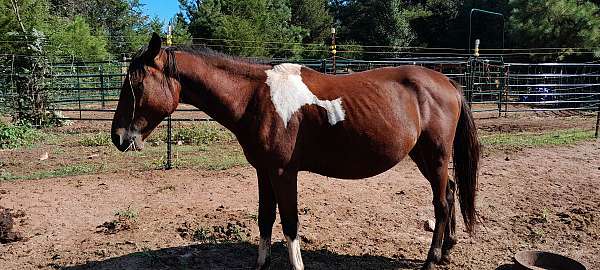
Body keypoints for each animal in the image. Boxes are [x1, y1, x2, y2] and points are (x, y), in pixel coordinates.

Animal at [110, 34, 480, 270]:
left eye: (136, 84)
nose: (118, 137)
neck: (256, 97)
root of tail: (448, 83)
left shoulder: (283, 173)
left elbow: (290, 223)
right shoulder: (263, 172)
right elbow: (265, 219)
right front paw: (261, 265)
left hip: (435, 156)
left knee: (442, 202)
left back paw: (431, 260)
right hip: (424, 156)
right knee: (450, 192)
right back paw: (446, 252)